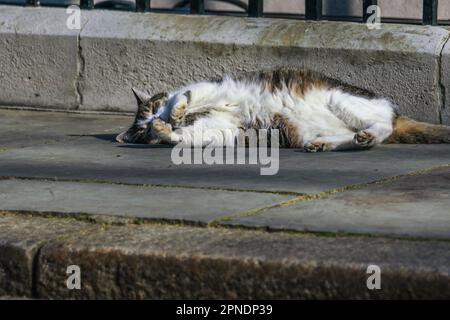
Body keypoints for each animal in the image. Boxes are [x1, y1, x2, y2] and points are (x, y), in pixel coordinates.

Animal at [116, 68, 450, 152]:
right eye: (141, 128)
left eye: (153, 106)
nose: (154, 119)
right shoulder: (220, 130)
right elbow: (185, 137)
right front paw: (165, 130)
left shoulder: (209, 88)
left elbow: (182, 97)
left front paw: (173, 114)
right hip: (306, 132)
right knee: (359, 134)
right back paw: (328, 144)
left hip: (341, 100)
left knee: (384, 126)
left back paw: (368, 134)